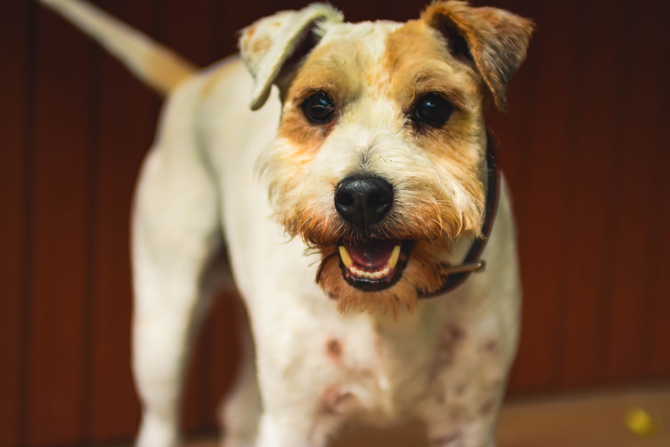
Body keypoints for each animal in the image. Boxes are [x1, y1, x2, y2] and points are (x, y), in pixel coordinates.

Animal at [42, 0, 536, 447]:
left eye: (432, 106)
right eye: (318, 105)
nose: (361, 196)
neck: (384, 307)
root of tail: (193, 83)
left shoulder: (469, 424)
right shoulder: (294, 421)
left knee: (236, 410)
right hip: (163, 328)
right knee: (160, 424)